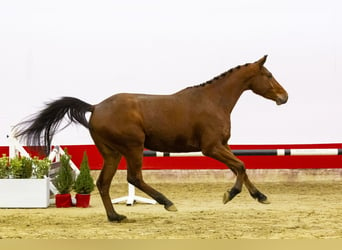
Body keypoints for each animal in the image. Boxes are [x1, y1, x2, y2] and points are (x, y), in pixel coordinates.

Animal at [15, 55, 288, 222]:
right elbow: (240, 166)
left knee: (103, 183)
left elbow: (241, 166)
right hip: (133, 147)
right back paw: (166, 202)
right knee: (134, 177)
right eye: (269, 75)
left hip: (113, 153)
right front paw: (230, 195)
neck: (214, 101)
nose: (284, 97)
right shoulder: (211, 147)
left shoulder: (223, 145)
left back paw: (115, 217)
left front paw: (260, 196)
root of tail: (96, 107)